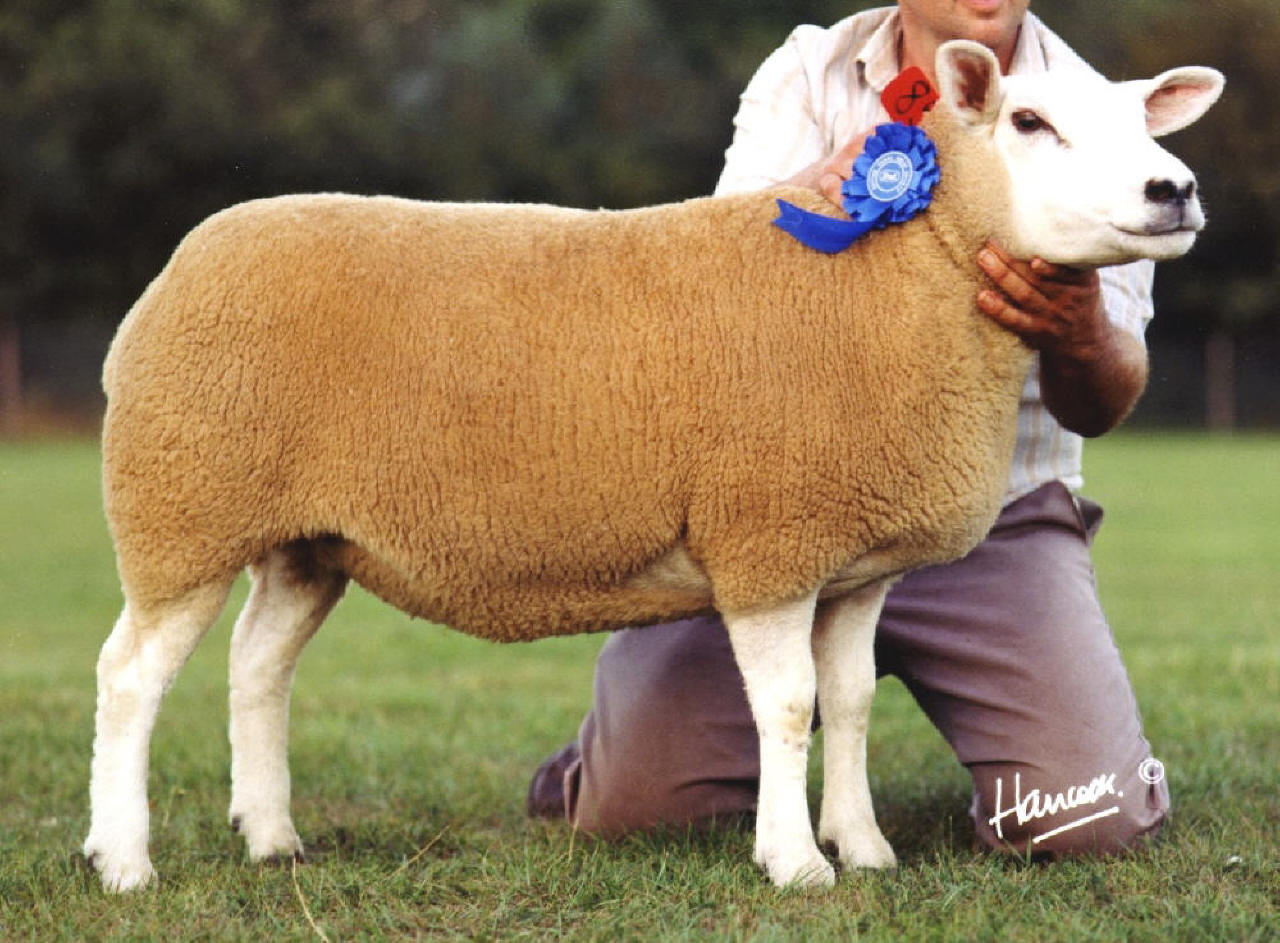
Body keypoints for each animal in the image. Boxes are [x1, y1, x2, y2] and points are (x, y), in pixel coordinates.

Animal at [84, 41, 1223, 892]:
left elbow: (851, 700)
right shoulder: (769, 536)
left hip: (305, 538)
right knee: (130, 677)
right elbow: (788, 707)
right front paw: (794, 862)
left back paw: (271, 835)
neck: (905, 272)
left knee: (256, 667)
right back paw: (124, 859)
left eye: (1148, 125)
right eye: (1028, 123)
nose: (1173, 189)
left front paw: (861, 846)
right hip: (184, 503)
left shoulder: (858, 559)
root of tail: (183, 263)